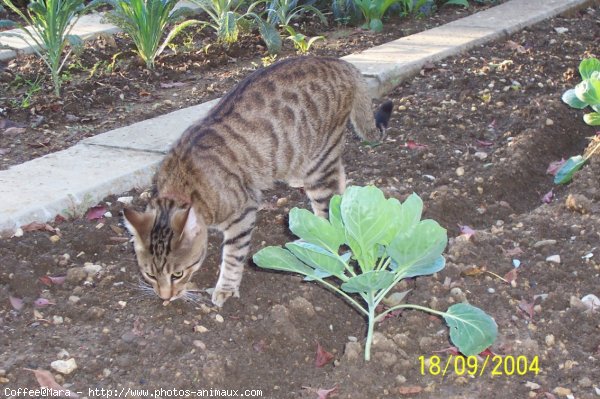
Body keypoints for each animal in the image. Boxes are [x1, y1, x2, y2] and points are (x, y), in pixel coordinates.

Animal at [123, 55, 392, 306]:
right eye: (150, 275)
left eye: (177, 274)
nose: (165, 297)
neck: (183, 182)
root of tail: (339, 62)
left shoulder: (243, 213)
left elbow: (232, 256)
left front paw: (225, 288)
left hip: (320, 165)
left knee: (329, 210)